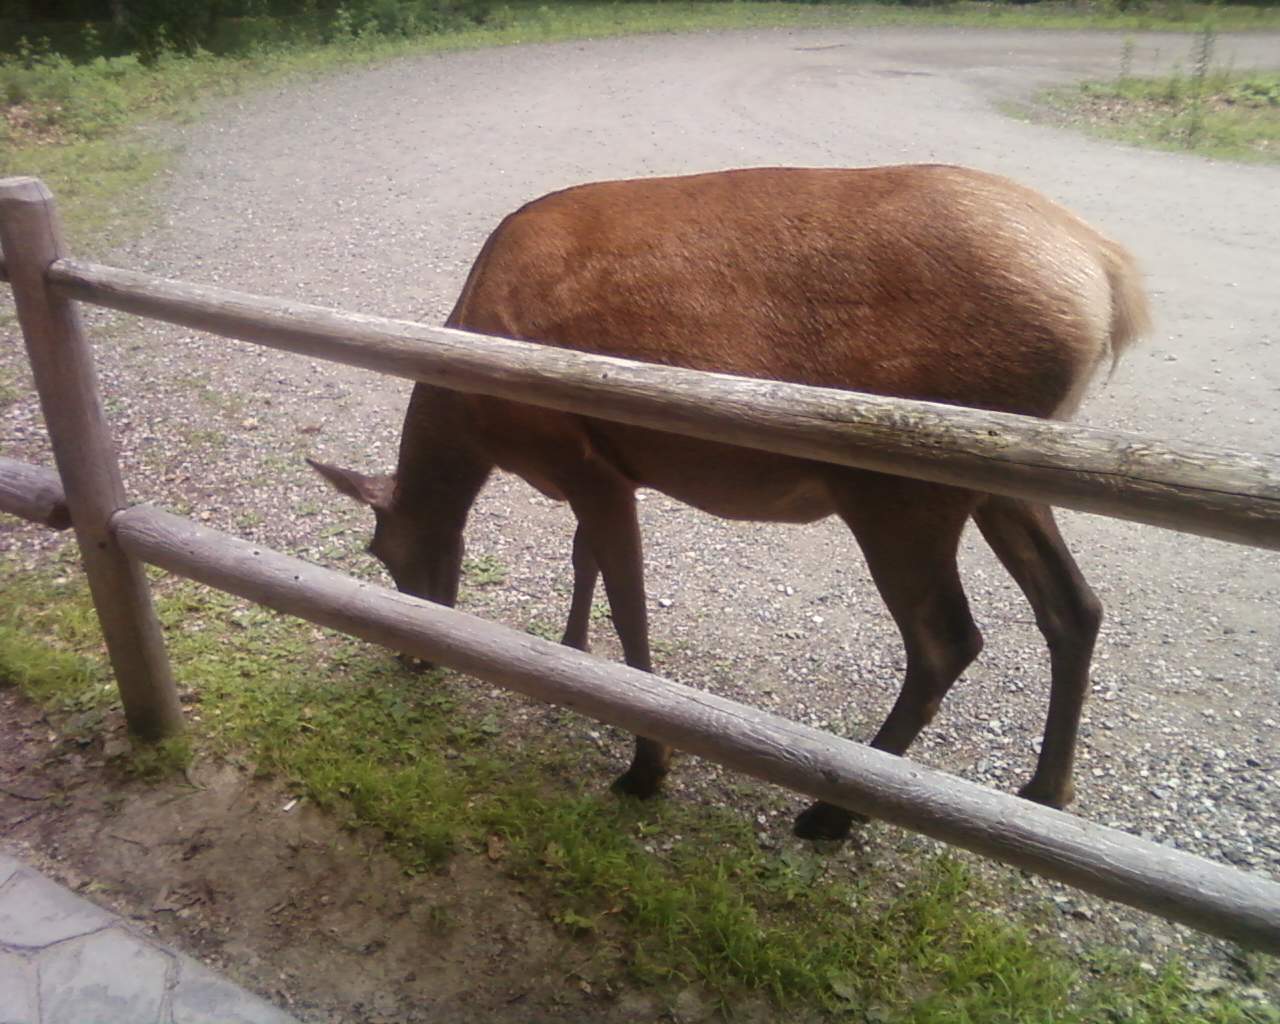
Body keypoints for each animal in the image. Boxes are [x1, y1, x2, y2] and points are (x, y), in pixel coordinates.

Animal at [310, 164, 1150, 841]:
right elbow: (585, 565)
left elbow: (630, 607)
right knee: (1073, 607)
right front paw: (571, 653)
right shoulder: (605, 469)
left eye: (383, 550)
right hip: (1002, 482)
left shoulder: (584, 461)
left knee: (947, 639)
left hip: (902, 489)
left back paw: (831, 814)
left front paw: (647, 767)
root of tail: (1110, 282)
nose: (412, 654)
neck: (477, 414)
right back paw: (1044, 790)